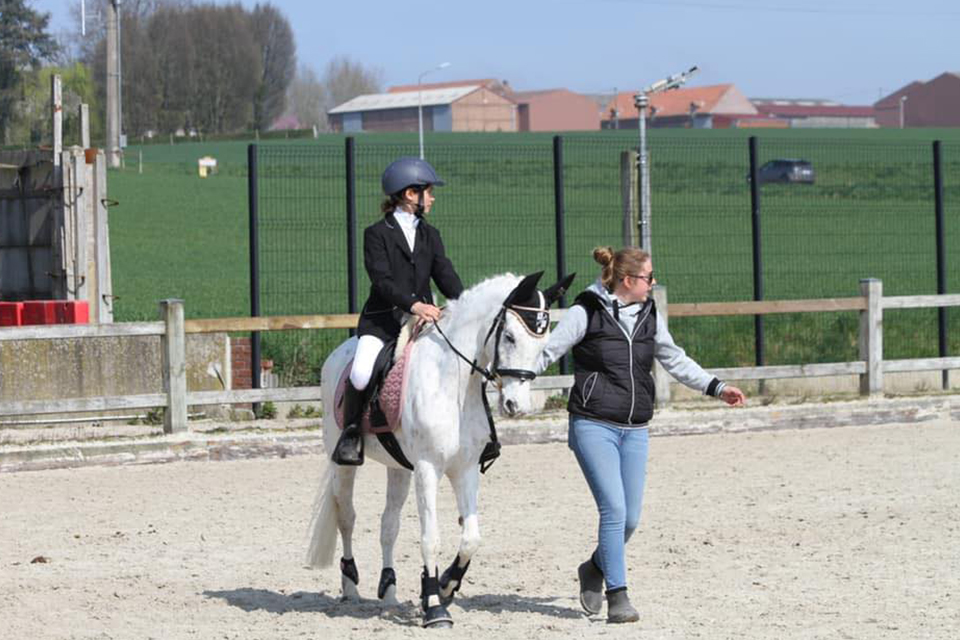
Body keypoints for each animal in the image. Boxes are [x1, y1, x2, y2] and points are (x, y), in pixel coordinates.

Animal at [308, 272, 572, 628]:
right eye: (510, 337)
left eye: (543, 344)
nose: (516, 406)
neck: (453, 382)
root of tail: (340, 351)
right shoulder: (427, 467)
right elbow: (430, 537)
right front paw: (434, 607)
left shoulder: (465, 468)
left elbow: (471, 537)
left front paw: (445, 585)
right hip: (342, 461)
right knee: (346, 516)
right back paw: (350, 585)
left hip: (397, 467)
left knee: (388, 524)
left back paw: (389, 592)